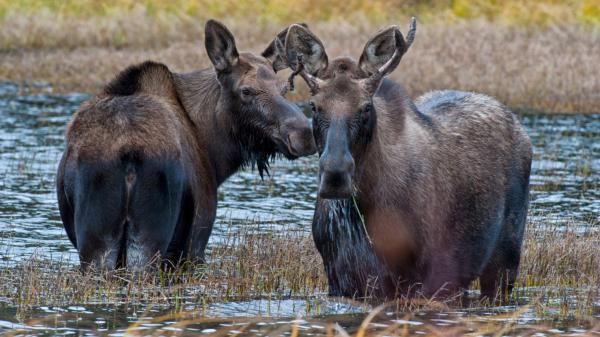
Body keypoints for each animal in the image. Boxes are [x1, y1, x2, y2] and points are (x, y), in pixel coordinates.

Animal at [284, 19, 528, 302]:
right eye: (314, 106)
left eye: (366, 106)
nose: (335, 174)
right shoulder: (341, 279)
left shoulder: (427, 277)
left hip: (504, 260)